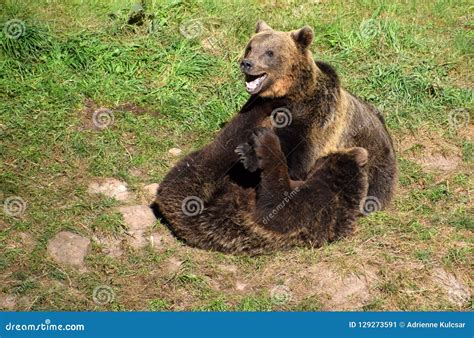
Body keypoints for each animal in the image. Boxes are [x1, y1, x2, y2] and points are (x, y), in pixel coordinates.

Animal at [241, 21, 396, 210]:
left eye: (270, 52)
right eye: (250, 47)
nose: (247, 63)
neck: (292, 95)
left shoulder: (315, 119)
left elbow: (297, 160)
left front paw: (250, 156)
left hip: (376, 163)